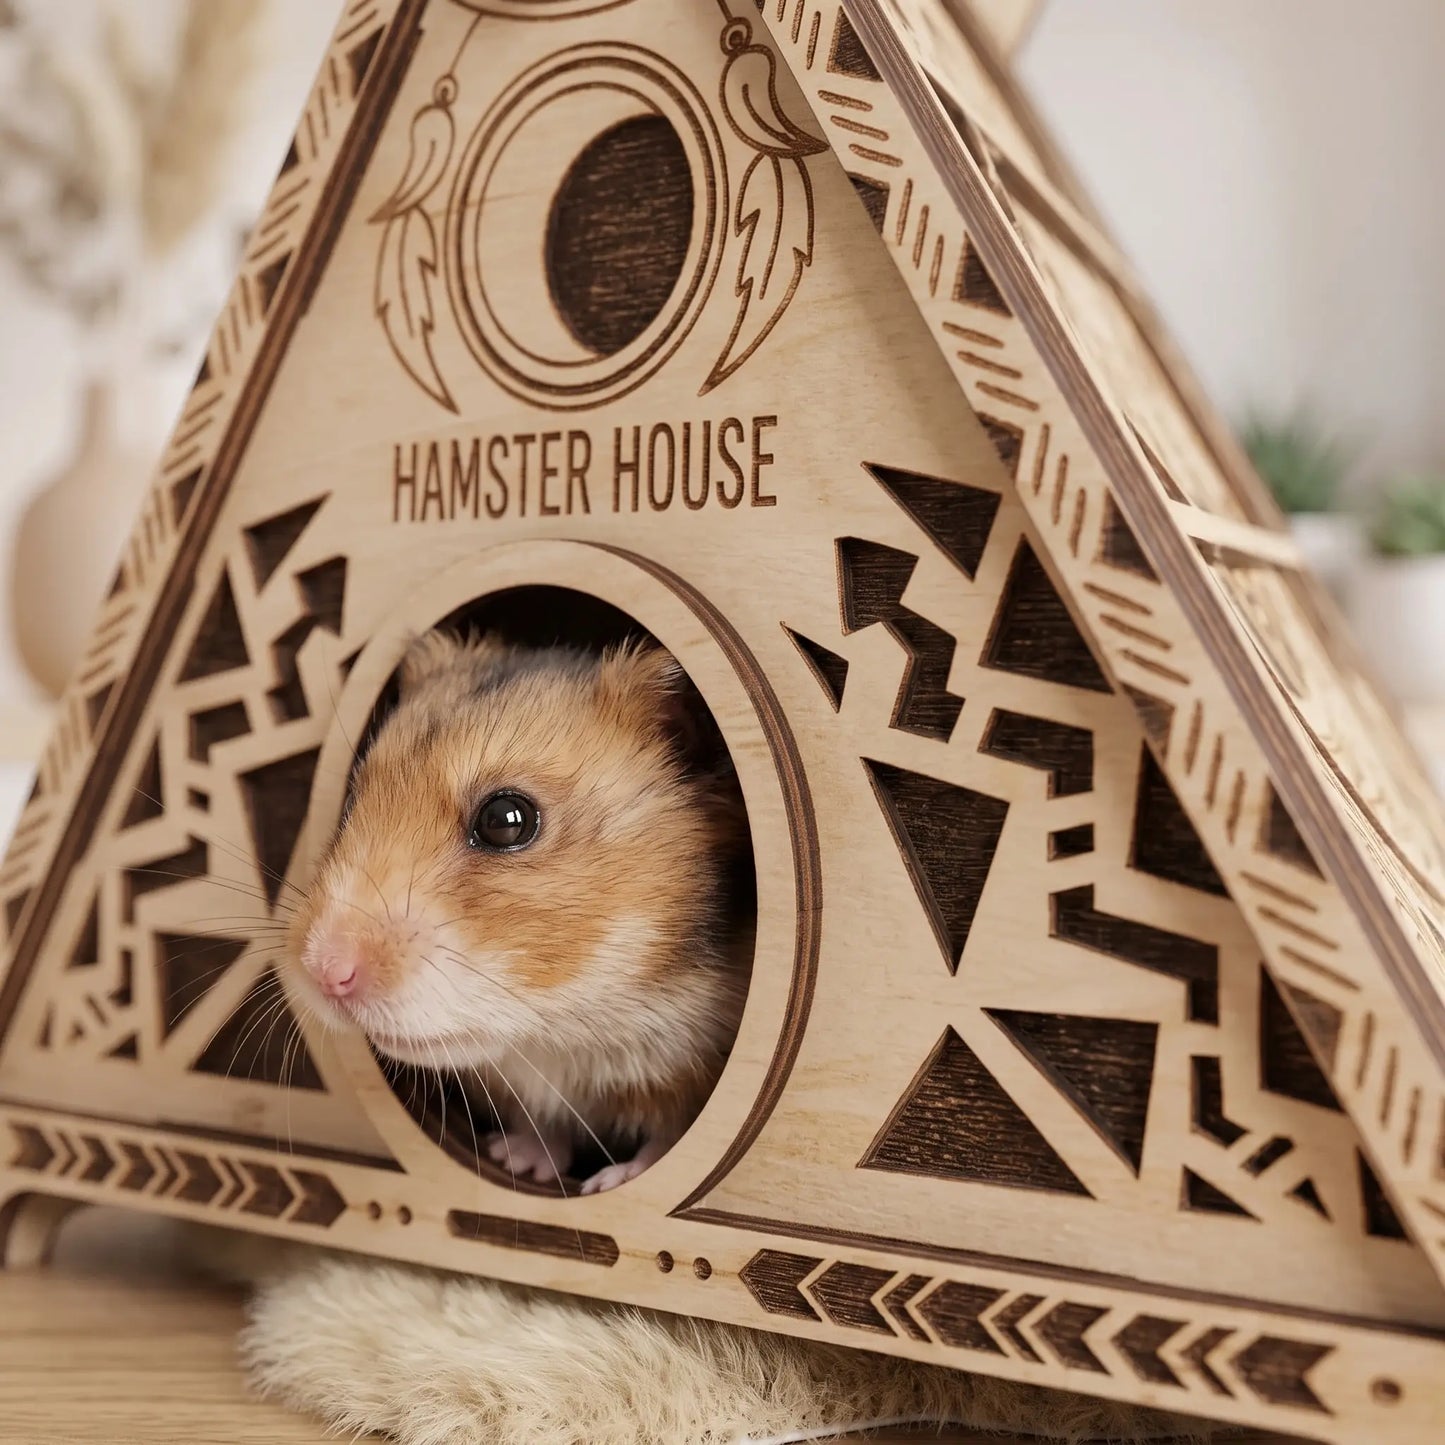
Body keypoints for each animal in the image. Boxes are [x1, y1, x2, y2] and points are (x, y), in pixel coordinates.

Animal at [286, 629, 753, 1195]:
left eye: (506, 821)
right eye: (353, 798)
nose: (325, 973)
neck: (564, 1030)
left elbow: (668, 1138)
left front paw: (609, 1183)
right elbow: (545, 1125)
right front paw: (511, 1159)